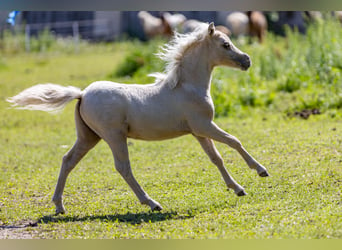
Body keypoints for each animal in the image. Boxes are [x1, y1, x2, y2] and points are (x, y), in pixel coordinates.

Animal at [8, 23, 268, 215]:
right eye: (225, 44)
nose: (247, 60)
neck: (186, 87)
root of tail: (82, 93)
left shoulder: (198, 132)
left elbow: (216, 158)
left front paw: (237, 188)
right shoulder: (205, 126)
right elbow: (234, 141)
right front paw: (261, 171)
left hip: (88, 137)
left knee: (68, 160)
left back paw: (59, 206)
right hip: (114, 136)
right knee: (123, 167)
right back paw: (152, 203)